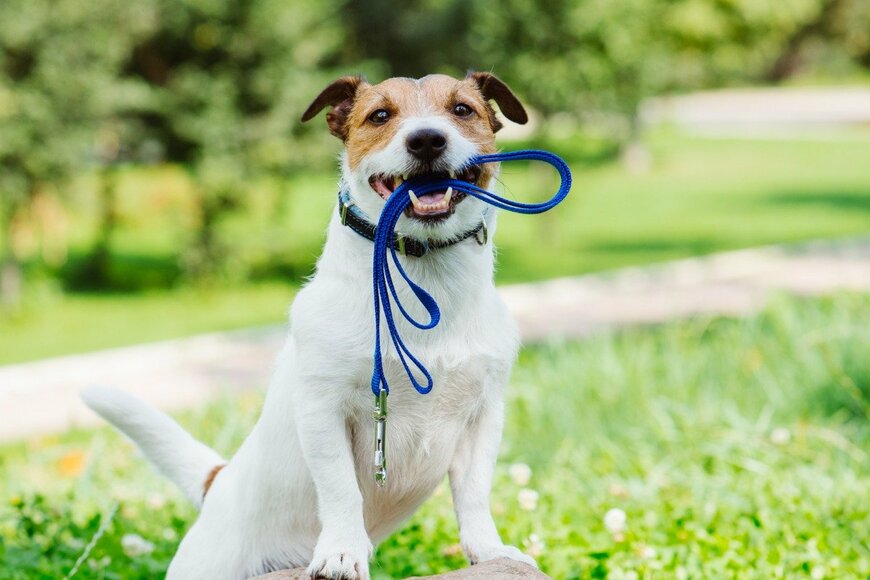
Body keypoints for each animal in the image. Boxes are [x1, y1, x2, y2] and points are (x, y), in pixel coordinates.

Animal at [83, 72, 532, 580]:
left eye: (462, 110)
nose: (426, 139)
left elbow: (474, 492)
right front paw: (341, 552)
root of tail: (221, 483)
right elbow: (340, 489)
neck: (424, 280)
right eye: (380, 115)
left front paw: (488, 550)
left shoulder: (484, 414)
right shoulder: (323, 409)